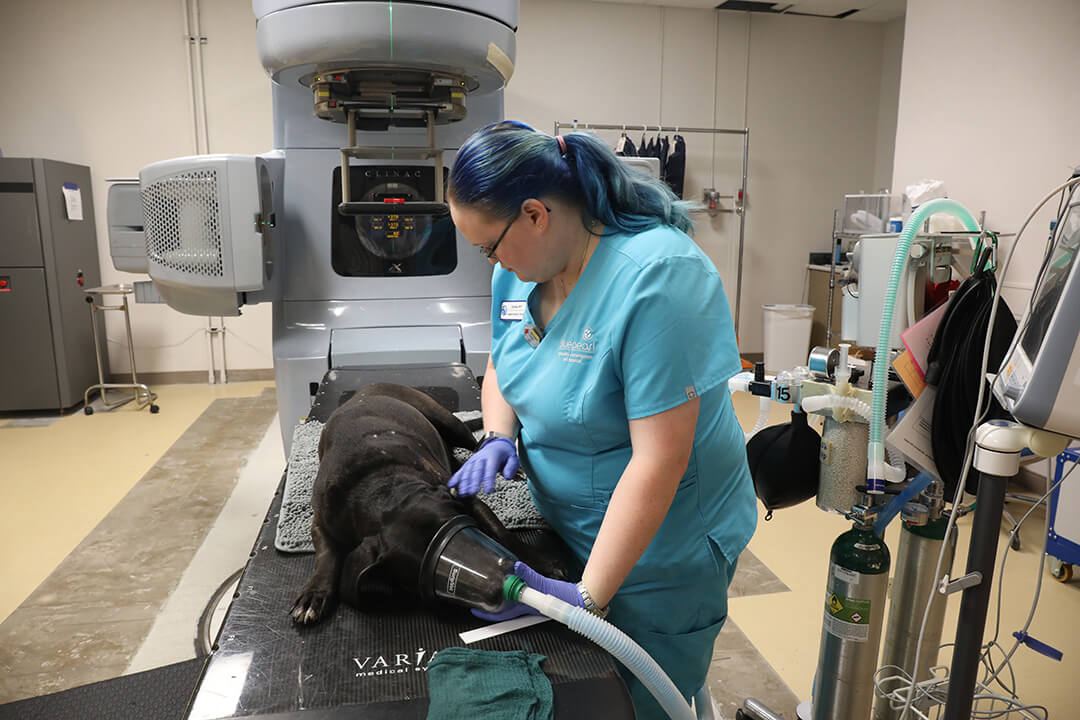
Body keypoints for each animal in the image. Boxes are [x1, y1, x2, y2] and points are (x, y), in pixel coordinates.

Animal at [291, 382, 570, 626]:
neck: (381, 488)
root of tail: (369, 387)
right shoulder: (321, 522)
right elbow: (327, 556)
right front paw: (314, 593)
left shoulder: (468, 501)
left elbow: (501, 532)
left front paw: (539, 561)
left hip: (448, 421)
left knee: (479, 442)